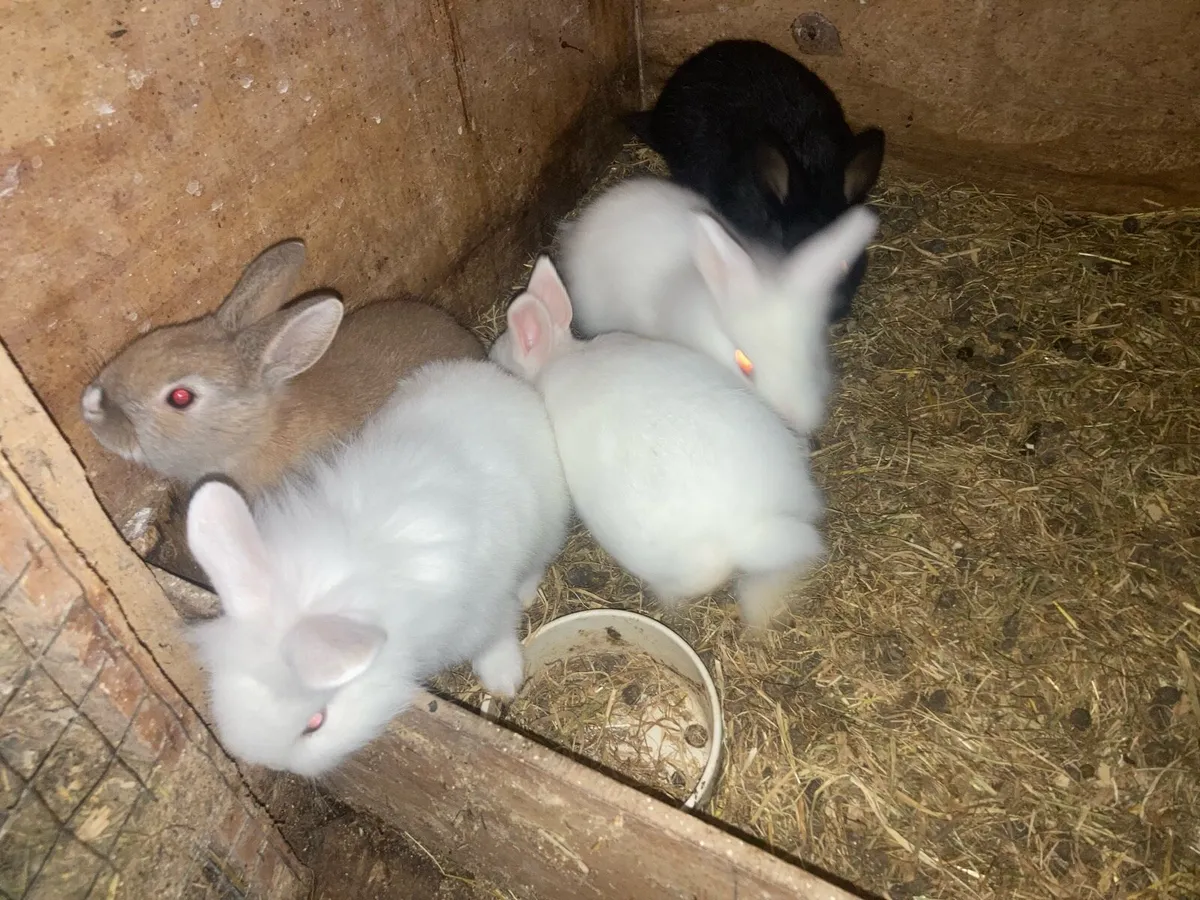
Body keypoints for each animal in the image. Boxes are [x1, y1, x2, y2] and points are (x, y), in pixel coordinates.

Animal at [185, 357, 570, 776]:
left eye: (316, 723)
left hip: (548, 526)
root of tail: (494, 376)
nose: (263, 762)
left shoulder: (485, 613)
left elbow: (497, 637)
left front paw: (503, 680)